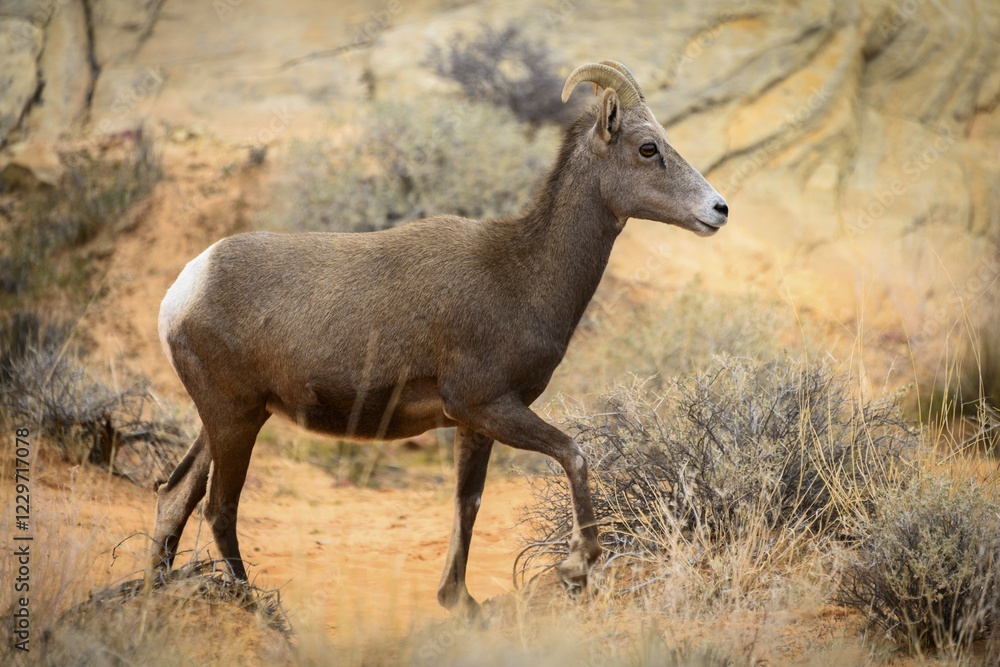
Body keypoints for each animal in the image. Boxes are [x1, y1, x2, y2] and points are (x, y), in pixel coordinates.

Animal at [151, 60, 728, 615]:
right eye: (648, 147)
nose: (718, 209)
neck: (522, 274)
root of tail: (183, 291)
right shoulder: (488, 405)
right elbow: (574, 453)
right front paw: (577, 568)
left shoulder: (473, 424)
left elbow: (466, 504)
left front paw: (459, 601)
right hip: (236, 419)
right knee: (219, 509)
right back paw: (254, 606)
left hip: (229, 419)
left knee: (174, 496)